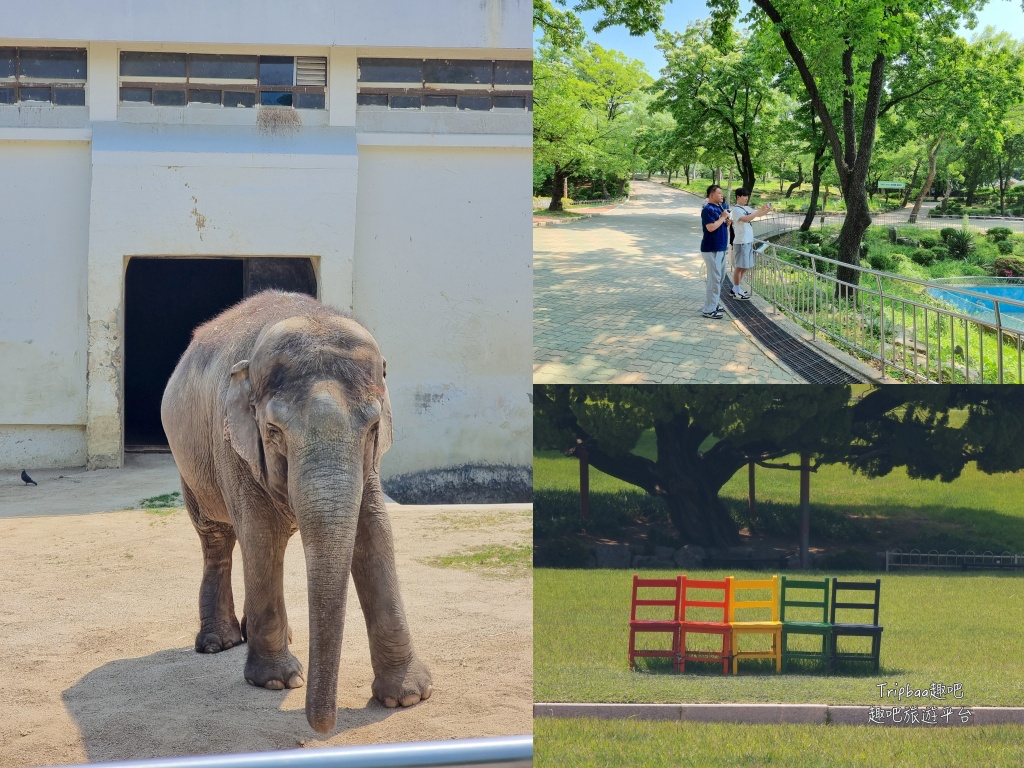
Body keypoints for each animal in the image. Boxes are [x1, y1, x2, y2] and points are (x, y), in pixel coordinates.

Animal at [160, 290, 432, 733]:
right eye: (273, 431)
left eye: (374, 428)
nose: (323, 729)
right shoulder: (233, 446)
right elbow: (258, 532)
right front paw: (277, 681)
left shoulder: (369, 466)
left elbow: (374, 532)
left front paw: (408, 697)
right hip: (189, 463)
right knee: (219, 538)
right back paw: (220, 643)